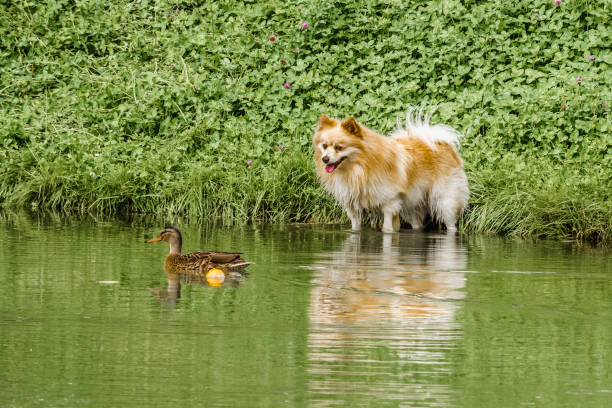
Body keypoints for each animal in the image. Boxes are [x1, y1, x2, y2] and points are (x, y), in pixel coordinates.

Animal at [314, 111, 470, 233]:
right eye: (324, 146)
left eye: (339, 147)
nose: (325, 159)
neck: (359, 169)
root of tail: (443, 144)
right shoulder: (353, 208)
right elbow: (356, 228)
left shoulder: (390, 203)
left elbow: (387, 229)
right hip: (413, 206)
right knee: (417, 224)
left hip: (446, 202)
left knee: (451, 224)